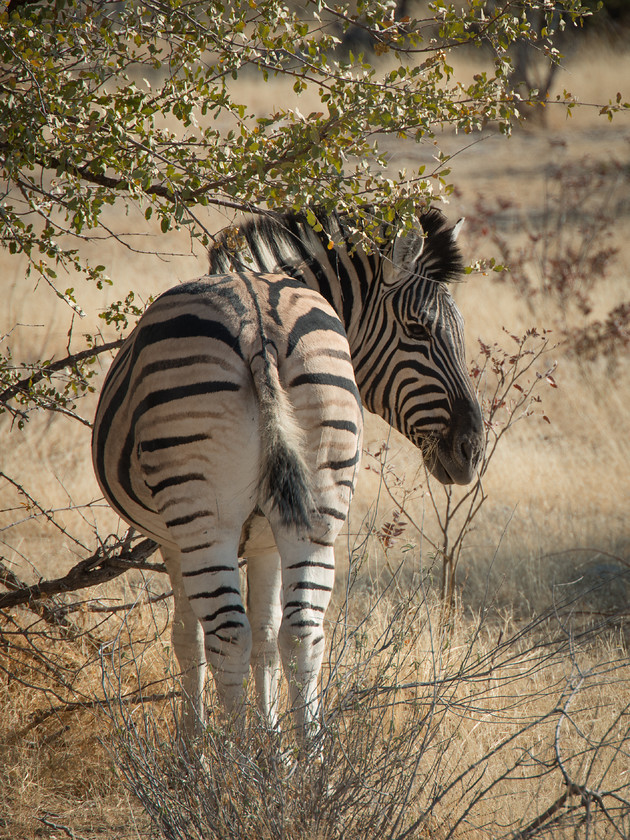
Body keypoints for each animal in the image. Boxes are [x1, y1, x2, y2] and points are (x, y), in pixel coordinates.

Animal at [92, 207, 484, 744]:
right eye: (417, 329)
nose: (473, 450)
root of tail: (258, 323)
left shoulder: (174, 539)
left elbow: (192, 638)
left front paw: (198, 750)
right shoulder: (265, 537)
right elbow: (267, 636)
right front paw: (273, 749)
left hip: (204, 517)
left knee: (227, 636)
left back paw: (234, 767)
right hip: (318, 500)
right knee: (301, 634)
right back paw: (309, 762)